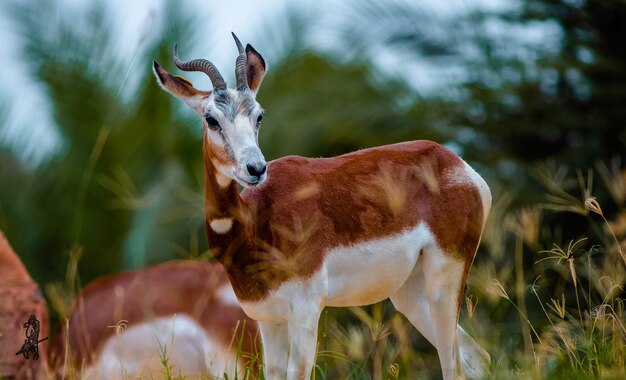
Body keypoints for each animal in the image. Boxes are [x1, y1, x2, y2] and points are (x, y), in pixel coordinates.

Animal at [154, 33, 490, 380]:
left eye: (259, 115)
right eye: (211, 119)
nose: (256, 169)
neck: (255, 222)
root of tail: (457, 164)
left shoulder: (306, 309)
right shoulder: (267, 318)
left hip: (443, 281)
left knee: (454, 364)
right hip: (409, 292)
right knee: (477, 357)